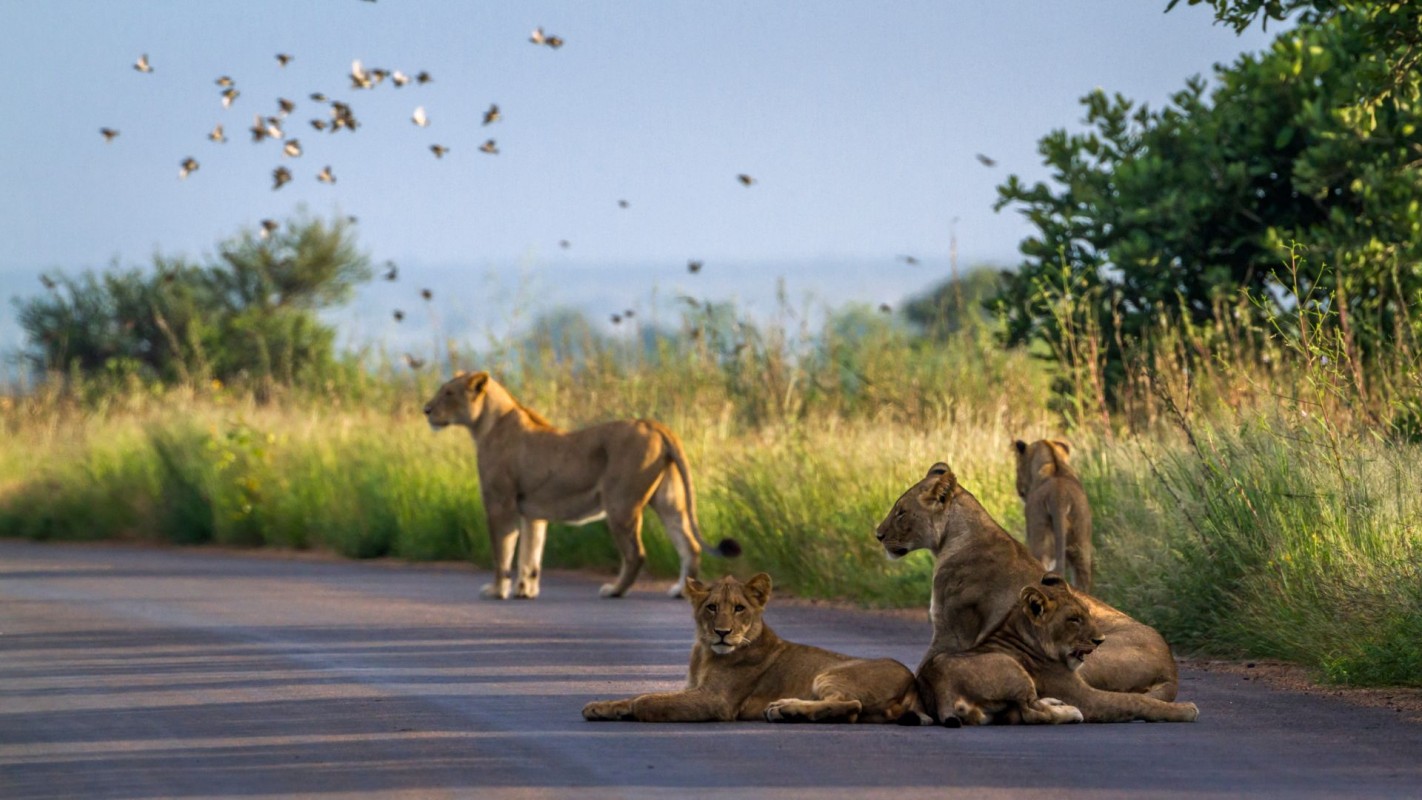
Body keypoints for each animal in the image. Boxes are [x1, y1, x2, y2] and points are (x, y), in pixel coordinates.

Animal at [420, 372, 739, 596]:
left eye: (448, 393)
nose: (426, 410)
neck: (486, 424)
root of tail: (653, 424)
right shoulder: (532, 512)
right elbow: (530, 555)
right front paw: (525, 591)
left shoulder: (500, 504)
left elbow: (503, 553)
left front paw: (497, 590)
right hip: (669, 501)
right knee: (689, 545)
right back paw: (680, 591)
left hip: (620, 504)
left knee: (636, 554)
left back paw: (614, 590)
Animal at [580, 576, 927, 727]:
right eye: (712, 607)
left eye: (739, 608)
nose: (722, 632)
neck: (704, 652)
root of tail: (912, 681)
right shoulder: (693, 689)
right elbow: (636, 695)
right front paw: (600, 707)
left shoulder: (716, 701)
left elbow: (647, 700)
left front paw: (631, 709)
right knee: (852, 710)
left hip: (830, 673)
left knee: (851, 705)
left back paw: (784, 709)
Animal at [875, 463, 1177, 707]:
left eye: (901, 512)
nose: (878, 534)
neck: (954, 537)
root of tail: (1171, 668)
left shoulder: (952, 631)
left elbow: (924, 668)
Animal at [921, 574, 1200, 727]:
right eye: (1073, 619)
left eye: (1087, 613)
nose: (1100, 640)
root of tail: (941, 689)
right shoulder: (1086, 698)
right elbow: (1135, 700)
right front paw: (1185, 710)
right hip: (1012, 669)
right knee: (1032, 713)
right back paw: (1071, 712)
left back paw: (1056, 703)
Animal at [1012, 437, 1086, 588]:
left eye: (1017, 468)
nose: (1018, 490)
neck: (1054, 465)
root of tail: (1059, 497)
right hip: (1081, 549)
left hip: (1041, 545)